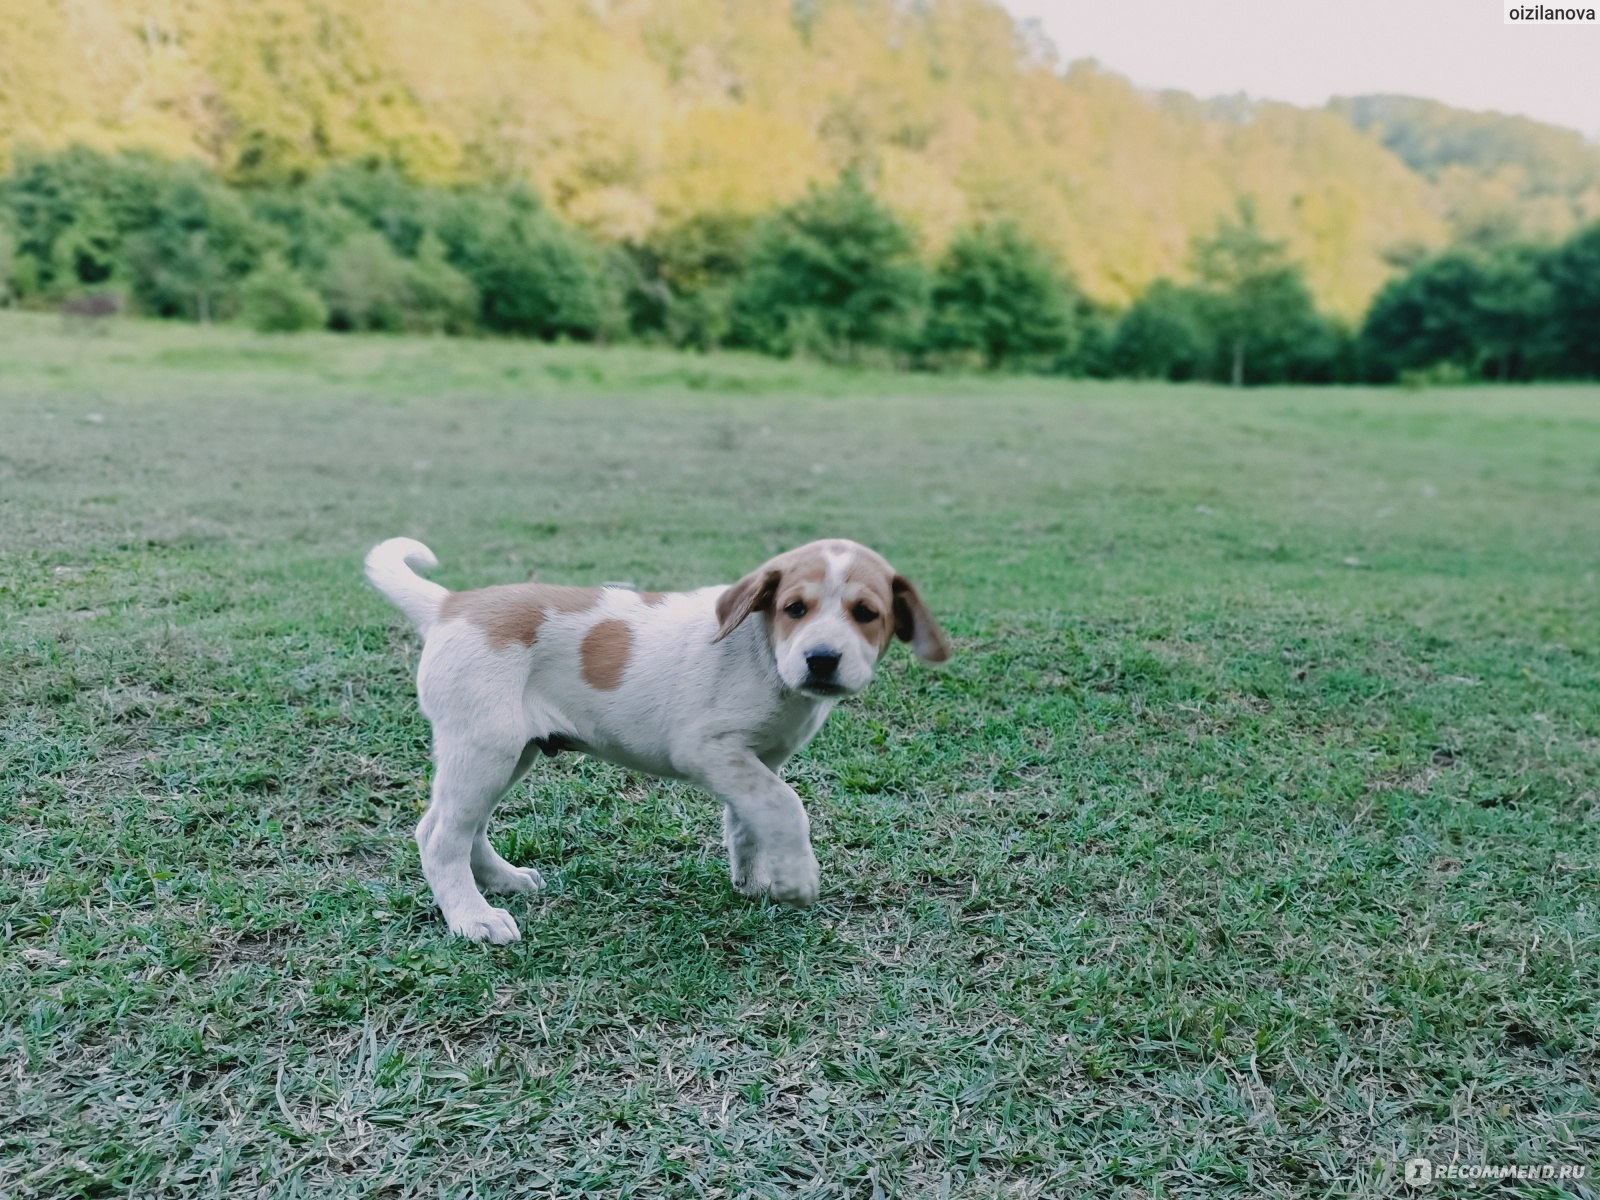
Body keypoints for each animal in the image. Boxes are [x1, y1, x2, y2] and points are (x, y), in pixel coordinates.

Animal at [366, 540, 947, 947]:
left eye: (866, 613)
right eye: (795, 609)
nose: (822, 659)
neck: (762, 651)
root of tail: (450, 604)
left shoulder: (757, 761)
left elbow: (750, 818)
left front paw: (756, 880)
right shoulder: (707, 749)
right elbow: (786, 805)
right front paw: (797, 879)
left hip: (510, 753)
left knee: (461, 826)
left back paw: (503, 880)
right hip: (485, 748)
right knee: (440, 836)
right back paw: (473, 918)